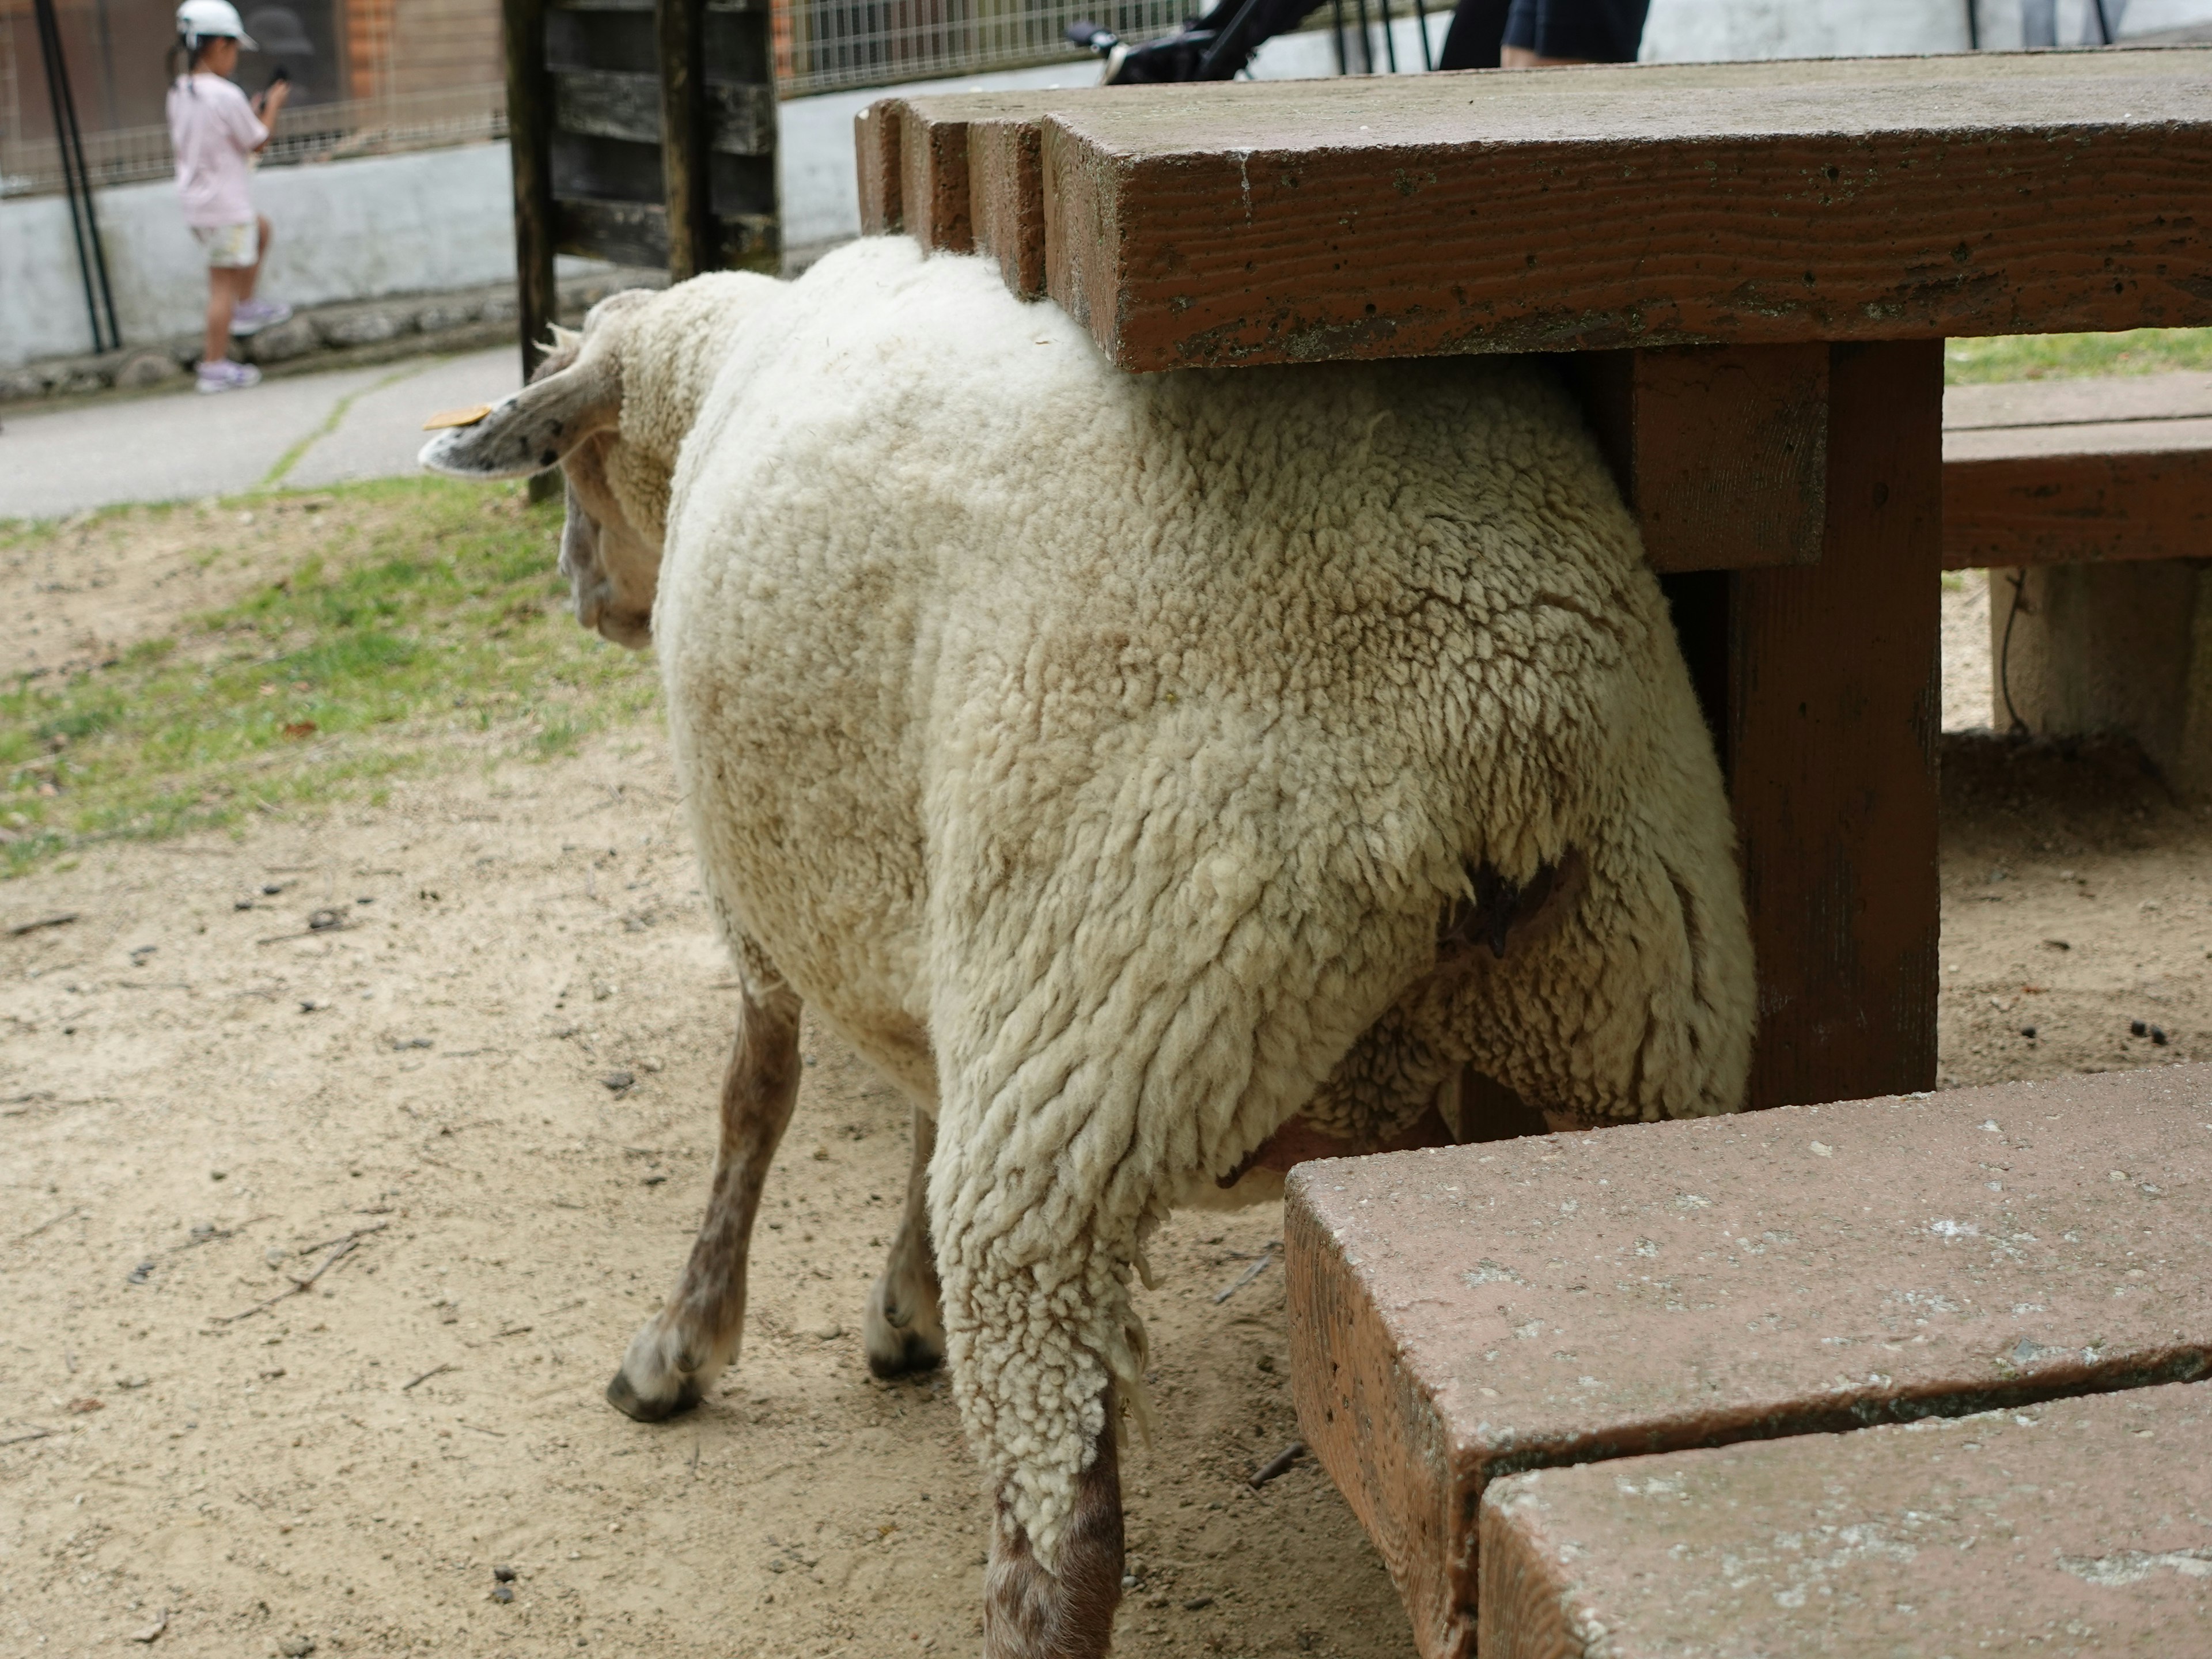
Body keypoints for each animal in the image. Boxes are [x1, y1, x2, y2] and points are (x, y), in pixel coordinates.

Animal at [427, 234, 1743, 1659]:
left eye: (573, 465)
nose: (581, 593)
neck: (717, 367)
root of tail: (1496, 744)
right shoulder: (926, 910)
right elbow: (913, 1100)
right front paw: (900, 1307)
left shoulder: (770, 902)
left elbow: (753, 1103)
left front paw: (681, 1346)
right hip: (1636, 1020)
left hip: (1090, 1039)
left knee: (1062, 1528)